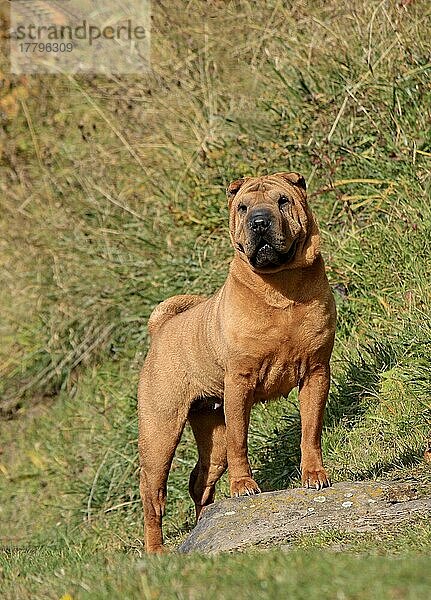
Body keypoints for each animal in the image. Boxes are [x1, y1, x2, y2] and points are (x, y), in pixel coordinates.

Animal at [138, 171, 338, 552]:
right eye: (243, 207)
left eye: (282, 201)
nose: (259, 221)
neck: (280, 283)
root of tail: (161, 328)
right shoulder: (239, 383)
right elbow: (240, 440)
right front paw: (244, 486)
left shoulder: (316, 372)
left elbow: (311, 430)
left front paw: (315, 475)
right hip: (160, 432)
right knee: (153, 495)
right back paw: (156, 551)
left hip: (208, 430)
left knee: (200, 479)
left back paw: (205, 524)